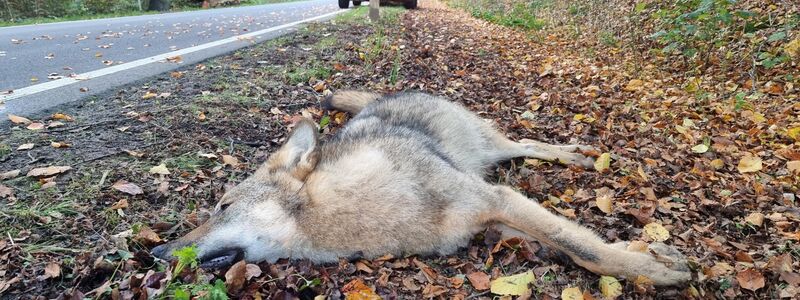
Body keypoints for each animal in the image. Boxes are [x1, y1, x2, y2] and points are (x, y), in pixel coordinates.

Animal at [153, 91, 692, 286]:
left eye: (222, 206)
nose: (154, 253)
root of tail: (389, 93)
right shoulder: (496, 221)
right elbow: (575, 241)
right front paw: (645, 252)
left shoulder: (494, 199)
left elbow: (585, 248)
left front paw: (652, 270)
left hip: (491, 149)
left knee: (527, 142)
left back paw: (576, 155)